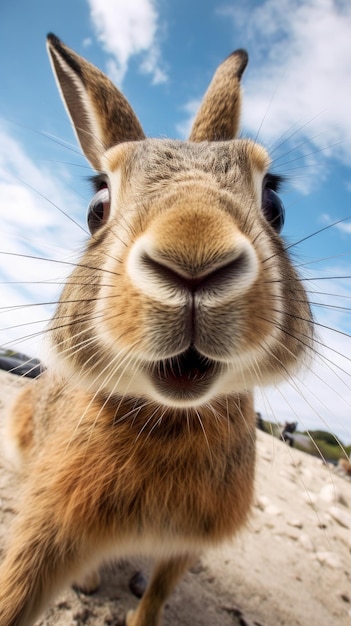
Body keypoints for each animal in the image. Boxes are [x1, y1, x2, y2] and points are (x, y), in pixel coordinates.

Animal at [0, 34, 314, 624]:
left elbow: (159, 596)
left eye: (275, 204)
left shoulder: (186, 544)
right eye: (97, 207)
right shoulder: (45, 532)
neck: (168, 417)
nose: (194, 256)